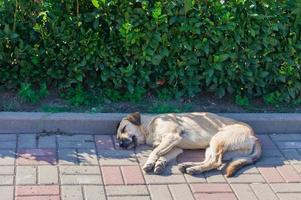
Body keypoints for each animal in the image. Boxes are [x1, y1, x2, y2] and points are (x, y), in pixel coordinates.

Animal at [115, 112, 260, 177]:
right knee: (210, 161)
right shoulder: (175, 147)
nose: (120, 144)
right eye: (117, 137)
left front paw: (150, 163)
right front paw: (160, 164)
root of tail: (255, 136)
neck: (149, 127)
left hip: (217, 140)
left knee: (216, 162)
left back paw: (193, 168)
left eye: (124, 129)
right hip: (210, 146)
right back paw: (191, 167)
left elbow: (154, 153)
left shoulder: (171, 137)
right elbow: (163, 156)